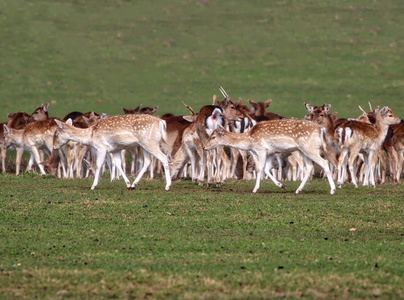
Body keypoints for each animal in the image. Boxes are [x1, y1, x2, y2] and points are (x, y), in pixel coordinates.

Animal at [204, 118, 336, 196]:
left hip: (310, 148)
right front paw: (282, 185)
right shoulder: (270, 152)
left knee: (324, 162)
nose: (205, 147)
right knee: (309, 167)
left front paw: (254, 189)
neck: (250, 141)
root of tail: (320, 129)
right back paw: (298, 190)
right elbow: (266, 169)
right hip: (304, 150)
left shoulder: (261, 149)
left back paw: (332, 190)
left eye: (213, 137)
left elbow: (259, 169)